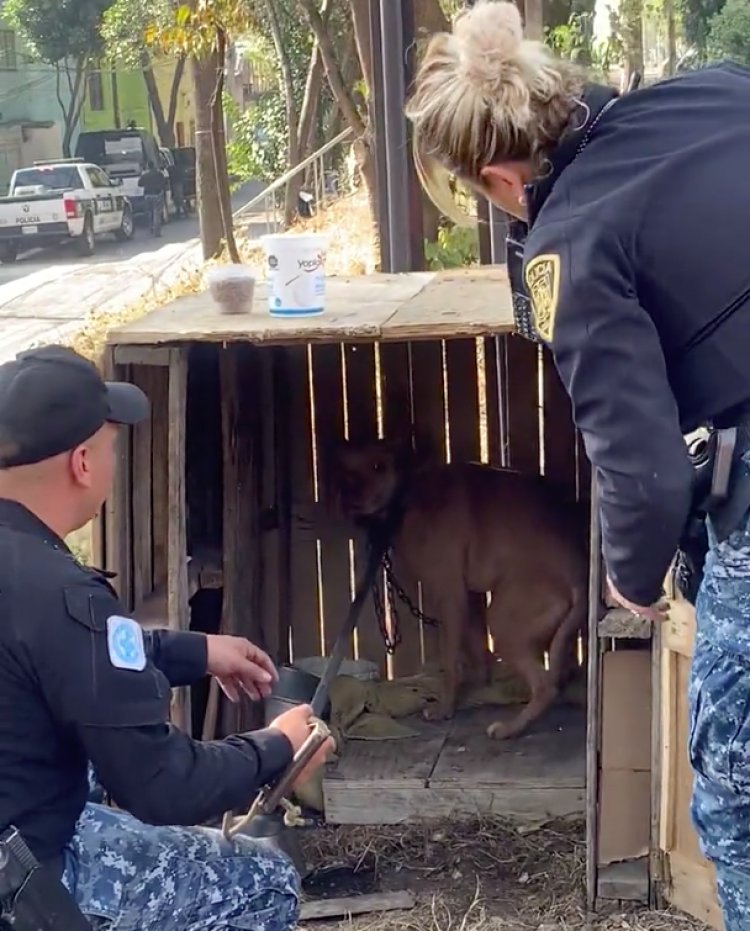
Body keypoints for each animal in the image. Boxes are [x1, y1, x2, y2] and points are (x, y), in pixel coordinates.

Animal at [338, 440, 592, 740]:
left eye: (379, 466)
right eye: (345, 469)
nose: (350, 495)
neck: (409, 493)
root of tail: (580, 578)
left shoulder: (450, 597)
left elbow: (450, 662)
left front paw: (445, 709)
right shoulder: (469, 599)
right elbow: (477, 650)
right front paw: (479, 686)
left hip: (503, 622)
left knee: (545, 686)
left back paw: (509, 729)